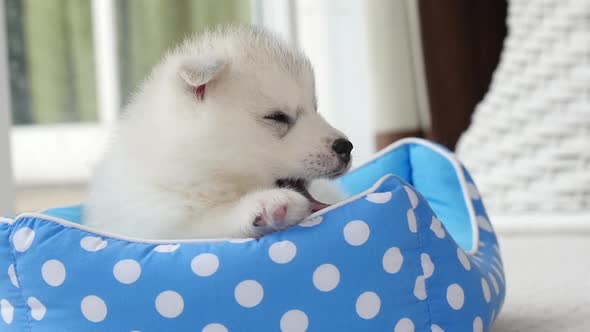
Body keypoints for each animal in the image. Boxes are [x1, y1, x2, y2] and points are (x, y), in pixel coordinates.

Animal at [82, 25, 352, 239]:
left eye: (315, 108)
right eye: (277, 117)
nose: (346, 147)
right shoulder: (158, 223)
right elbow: (208, 224)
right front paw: (268, 204)